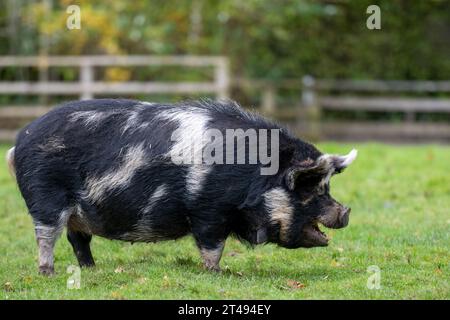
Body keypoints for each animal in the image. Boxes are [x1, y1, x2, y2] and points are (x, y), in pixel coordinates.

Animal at [5, 98, 356, 276]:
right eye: (308, 187)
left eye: (326, 186)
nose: (345, 211)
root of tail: (19, 142)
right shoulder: (208, 209)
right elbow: (212, 246)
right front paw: (219, 273)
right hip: (44, 195)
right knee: (47, 235)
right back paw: (48, 272)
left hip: (77, 211)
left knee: (78, 238)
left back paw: (92, 270)